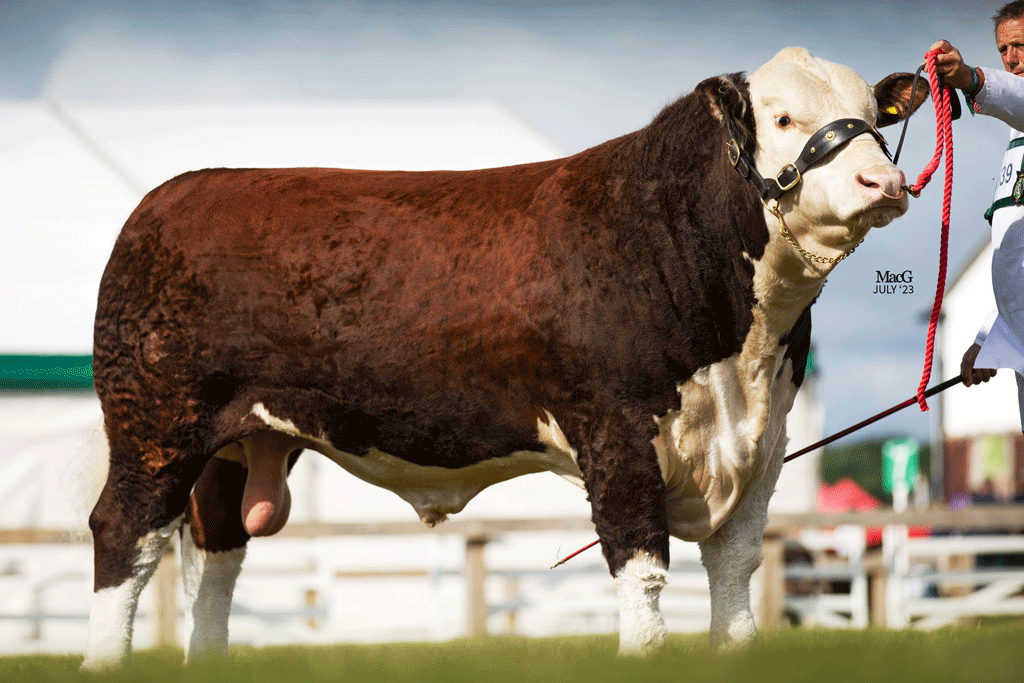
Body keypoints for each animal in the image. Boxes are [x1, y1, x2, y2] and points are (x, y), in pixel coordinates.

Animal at [83, 48, 925, 667]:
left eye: (871, 116)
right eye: (783, 117)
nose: (883, 179)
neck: (734, 357)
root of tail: (168, 199)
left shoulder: (766, 440)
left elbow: (738, 570)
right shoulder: (616, 432)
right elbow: (643, 567)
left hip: (239, 441)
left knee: (216, 555)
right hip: (155, 425)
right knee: (123, 535)